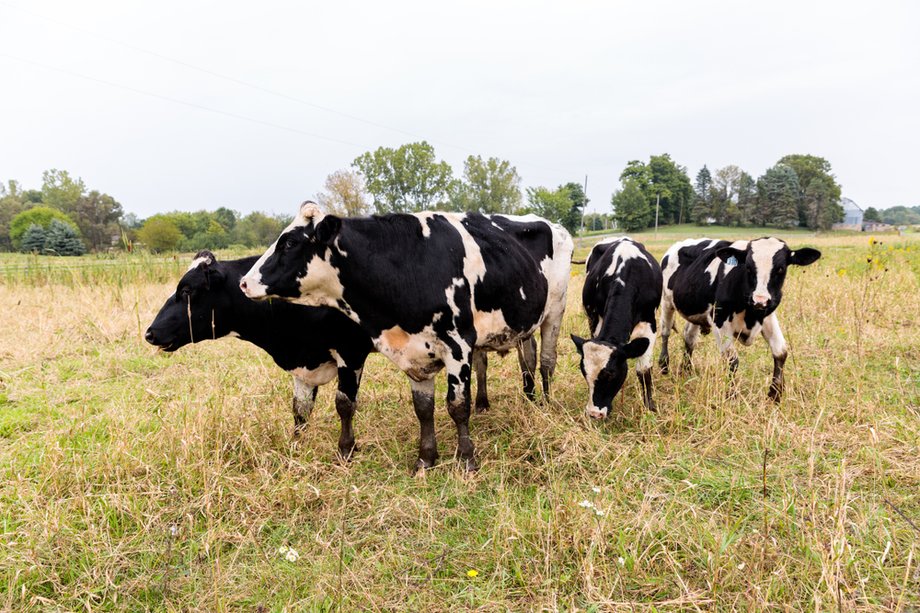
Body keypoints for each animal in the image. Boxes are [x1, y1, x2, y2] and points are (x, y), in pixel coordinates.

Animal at [144, 250, 374, 460]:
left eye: (186, 290)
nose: (150, 333)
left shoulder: (351, 350)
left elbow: (344, 405)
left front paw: (346, 450)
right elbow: (301, 409)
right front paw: (297, 445)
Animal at [237, 203, 572, 470]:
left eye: (290, 242)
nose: (244, 282)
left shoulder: (457, 345)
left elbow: (457, 406)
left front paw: (466, 460)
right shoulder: (415, 352)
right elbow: (423, 408)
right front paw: (426, 459)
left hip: (554, 312)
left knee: (546, 360)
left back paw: (545, 403)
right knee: (523, 358)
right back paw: (523, 400)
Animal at [568, 237, 660, 418]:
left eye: (611, 374)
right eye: (583, 371)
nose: (594, 413)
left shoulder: (649, 324)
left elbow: (644, 370)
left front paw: (649, 406)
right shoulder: (596, 319)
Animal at [656, 237, 824, 400]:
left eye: (780, 268)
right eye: (748, 268)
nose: (760, 300)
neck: (750, 313)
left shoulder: (767, 316)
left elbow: (780, 352)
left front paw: (775, 394)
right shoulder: (719, 320)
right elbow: (732, 360)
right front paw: (732, 394)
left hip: (696, 312)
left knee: (689, 337)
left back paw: (686, 369)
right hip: (666, 301)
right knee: (665, 332)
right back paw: (664, 365)